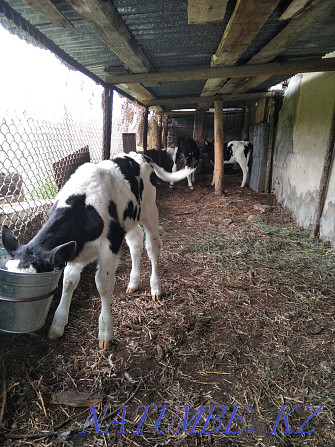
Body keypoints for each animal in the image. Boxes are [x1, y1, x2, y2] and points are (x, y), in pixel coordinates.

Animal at [1, 153, 194, 350]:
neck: (82, 205)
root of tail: (139, 155)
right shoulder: (74, 250)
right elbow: (68, 282)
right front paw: (57, 325)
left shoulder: (110, 245)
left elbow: (103, 285)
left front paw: (105, 332)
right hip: (129, 218)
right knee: (135, 242)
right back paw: (133, 282)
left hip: (149, 208)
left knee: (152, 246)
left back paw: (155, 287)